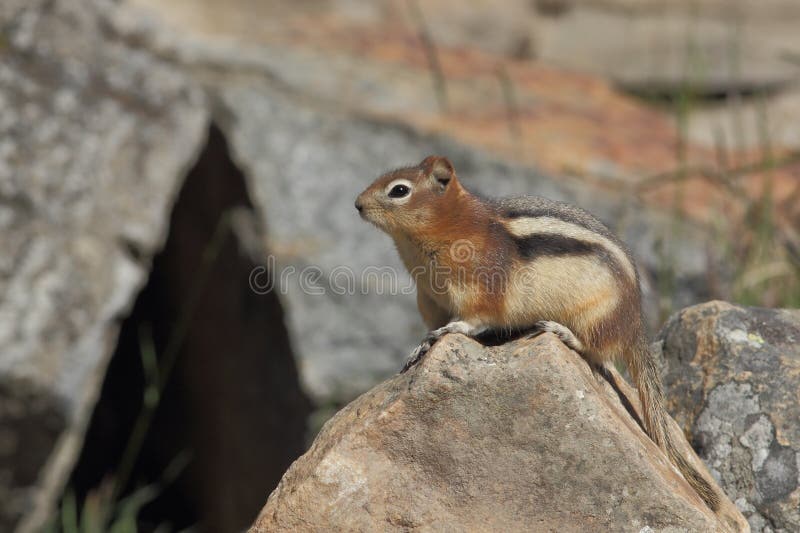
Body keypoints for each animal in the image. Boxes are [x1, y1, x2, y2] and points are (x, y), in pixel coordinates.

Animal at [356, 155, 720, 512]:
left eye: (399, 190)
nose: (357, 204)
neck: (452, 224)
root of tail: (635, 325)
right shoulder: (429, 299)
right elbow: (432, 327)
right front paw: (420, 346)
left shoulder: (479, 290)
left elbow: (472, 320)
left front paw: (451, 329)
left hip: (595, 316)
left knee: (595, 349)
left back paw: (559, 331)